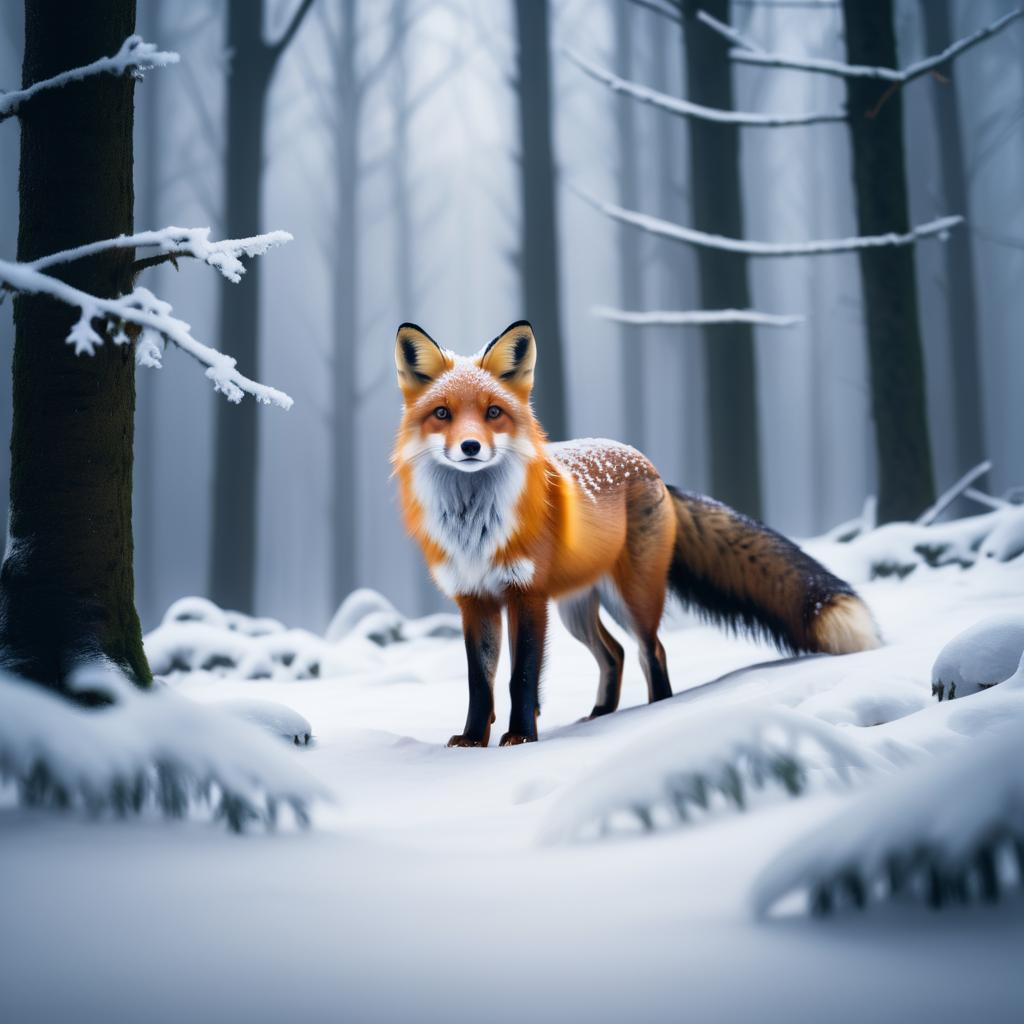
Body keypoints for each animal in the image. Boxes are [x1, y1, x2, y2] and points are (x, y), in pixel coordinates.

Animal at [391, 323, 880, 749]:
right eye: (442, 414)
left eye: (493, 412)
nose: (470, 447)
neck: (475, 526)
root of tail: (649, 465)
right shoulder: (474, 600)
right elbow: (481, 682)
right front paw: (473, 740)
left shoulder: (526, 595)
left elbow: (521, 677)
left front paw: (522, 737)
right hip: (576, 607)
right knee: (614, 655)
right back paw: (601, 715)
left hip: (632, 597)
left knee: (652, 652)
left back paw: (654, 714)